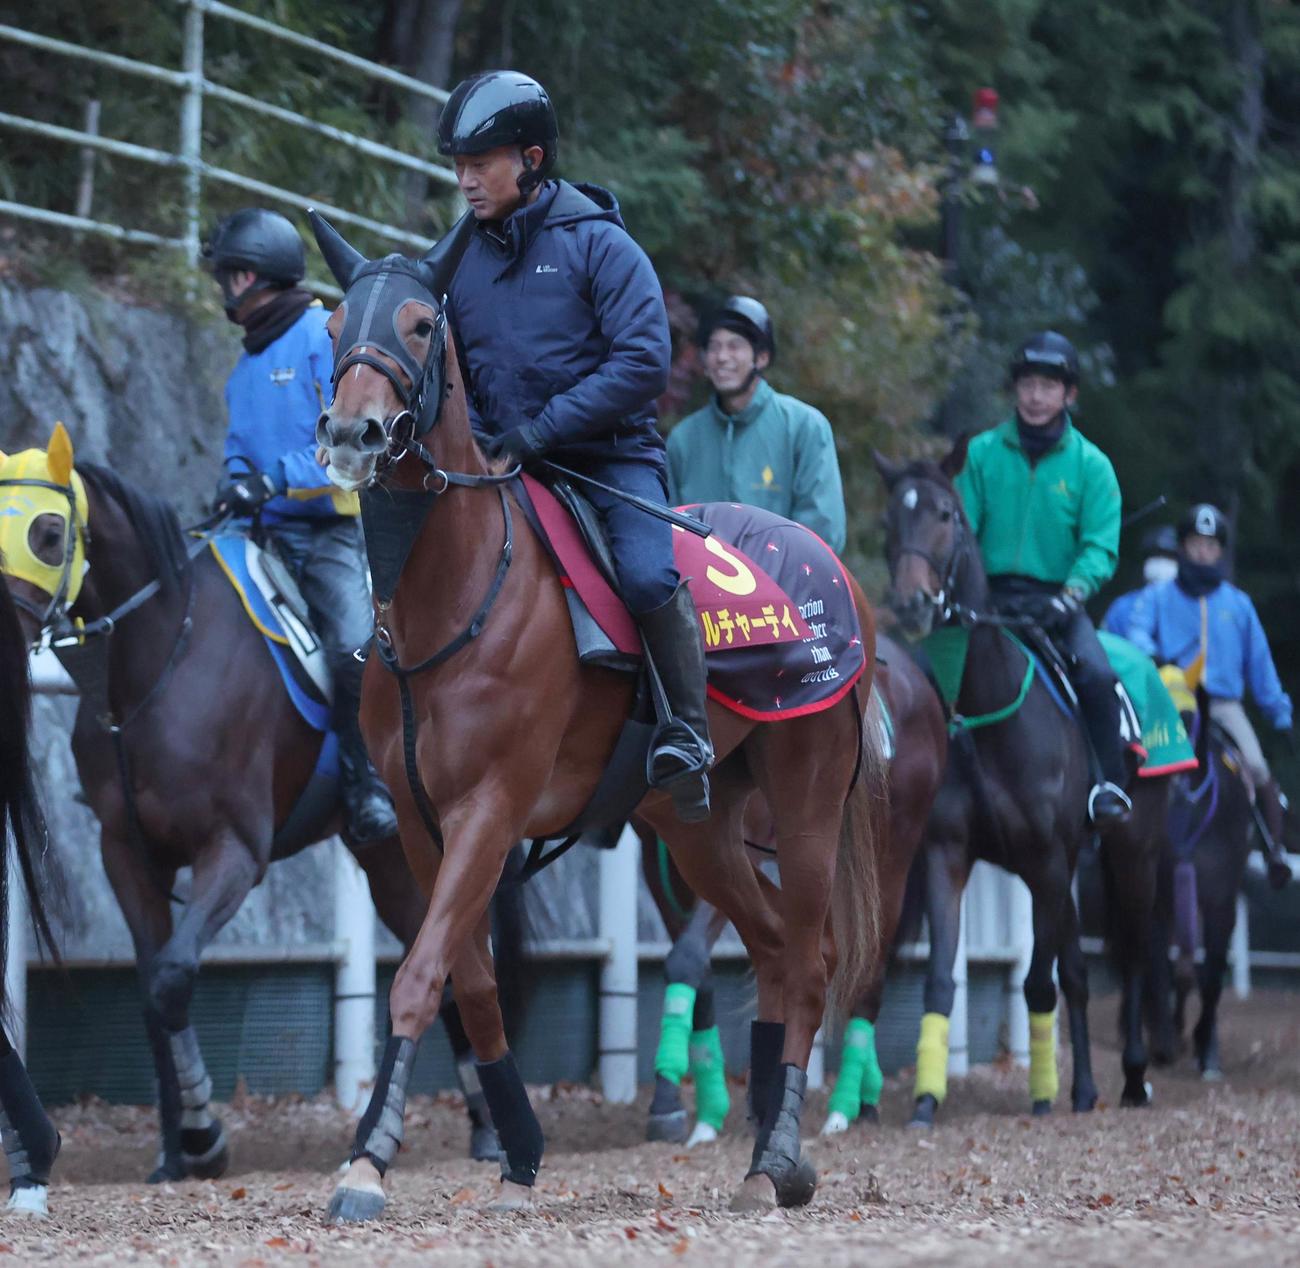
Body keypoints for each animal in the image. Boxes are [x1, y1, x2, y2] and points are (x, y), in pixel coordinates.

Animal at [0, 426, 518, 1181]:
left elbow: (173, 979)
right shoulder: (126, 855)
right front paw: (172, 1153)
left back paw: (487, 1132)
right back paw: (482, 1126)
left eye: (47, 532)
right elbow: (152, 998)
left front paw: (203, 1135)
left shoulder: (234, 851)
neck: (164, 652)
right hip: (390, 860)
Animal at [309, 212, 887, 1222]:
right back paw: (764, 1155)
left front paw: (368, 1164)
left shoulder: (492, 810)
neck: (454, 595)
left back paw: (779, 1155)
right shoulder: (423, 823)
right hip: (696, 830)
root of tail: (833, 572)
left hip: (808, 800)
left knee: (811, 963)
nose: (352, 429)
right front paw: (517, 1152)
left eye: (421, 324)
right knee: (775, 950)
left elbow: (420, 978)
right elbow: (471, 985)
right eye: (339, 321)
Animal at [636, 634, 947, 1145]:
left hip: (891, 854)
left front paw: (670, 1102)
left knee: (870, 965)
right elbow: (694, 963)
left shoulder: (740, 840)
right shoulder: (662, 859)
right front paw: (699, 1107)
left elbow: (692, 954)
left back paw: (844, 1104)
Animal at [874, 438, 1169, 1124]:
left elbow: (1039, 981)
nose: (912, 602)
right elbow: (941, 979)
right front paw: (926, 1097)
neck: (992, 705)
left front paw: (1041, 1096)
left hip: (1133, 851)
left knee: (1136, 957)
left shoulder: (1047, 861)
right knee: (1081, 974)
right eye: (890, 520)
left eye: (946, 514)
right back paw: (1085, 1088)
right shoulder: (948, 855)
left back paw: (1132, 1077)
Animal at [1147, 687, 1256, 1079]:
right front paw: (1165, 1042)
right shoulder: (1159, 898)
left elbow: (1210, 973)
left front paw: (1206, 1050)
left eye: (1191, 777)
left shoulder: (1220, 900)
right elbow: (1159, 967)